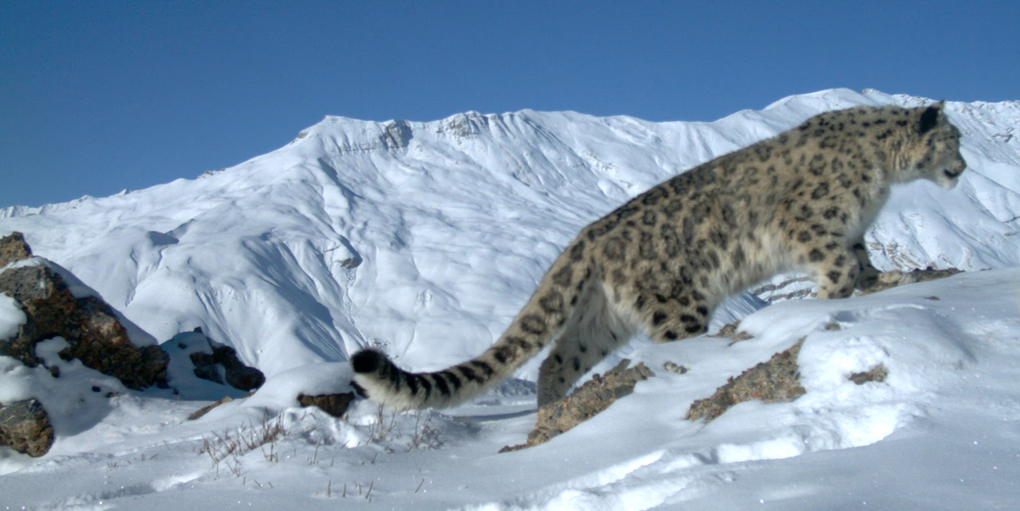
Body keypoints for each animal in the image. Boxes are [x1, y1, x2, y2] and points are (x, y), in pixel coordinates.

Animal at [350, 102, 962, 410]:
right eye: (953, 139)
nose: (963, 167)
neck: (882, 177)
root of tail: (587, 237)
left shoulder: (851, 230)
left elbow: (862, 262)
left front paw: (887, 280)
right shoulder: (811, 224)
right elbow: (837, 268)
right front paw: (830, 302)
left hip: (600, 320)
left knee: (555, 361)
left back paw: (548, 411)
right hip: (676, 302)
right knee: (666, 345)